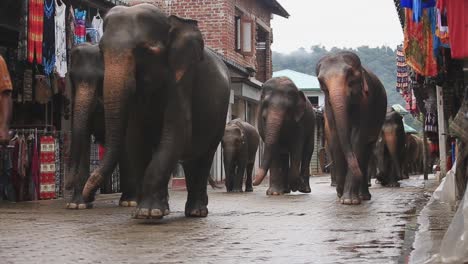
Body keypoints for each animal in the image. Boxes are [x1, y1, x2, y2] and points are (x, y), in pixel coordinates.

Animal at [81, 4, 230, 220]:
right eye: (101, 50)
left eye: (145, 51)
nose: (88, 198)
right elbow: (135, 137)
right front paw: (144, 212)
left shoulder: (183, 78)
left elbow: (178, 130)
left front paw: (148, 212)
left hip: (220, 117)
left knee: (203, 157)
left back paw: (197, 212)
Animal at [318, 51, 388, 204]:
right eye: (321, 82)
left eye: (351, 77)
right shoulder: (328, 106)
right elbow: (335, 136)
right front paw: (341, 196)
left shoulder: (366, 101)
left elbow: (358, 136)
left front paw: (349, 200)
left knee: (366, 150)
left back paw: (363, 196)